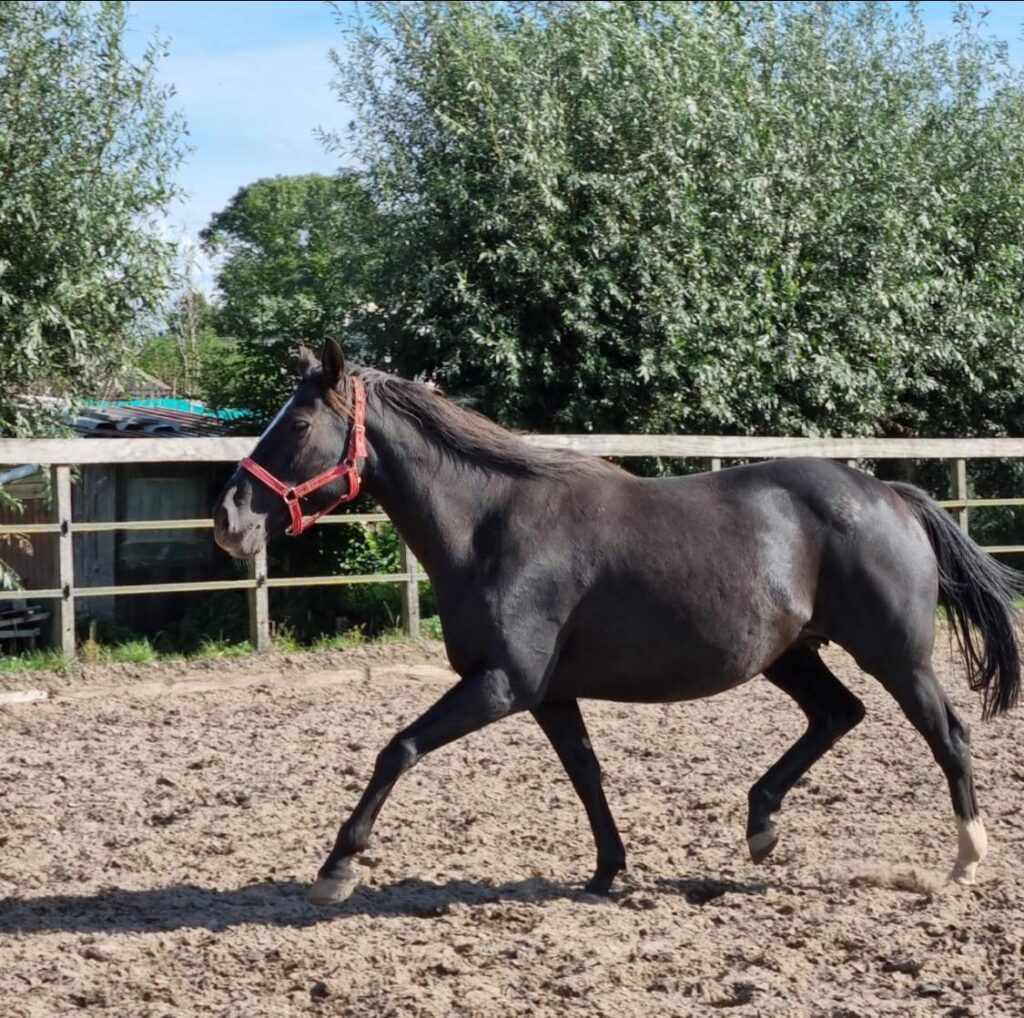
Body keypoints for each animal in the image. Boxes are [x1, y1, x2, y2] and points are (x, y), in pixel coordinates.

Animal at [213, 339, 1021, 906]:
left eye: (300, 422)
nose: (229, 520)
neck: (491, 525)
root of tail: (890, 494)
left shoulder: (502, 684)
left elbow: (398, 749)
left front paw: (337, 868)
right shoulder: (548, 694)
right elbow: (587, 775)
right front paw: (607, 872)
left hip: (896, 655)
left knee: (948, 734)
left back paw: (965, 860)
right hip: (792, 654)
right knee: (837, 714)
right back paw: (761, 826)